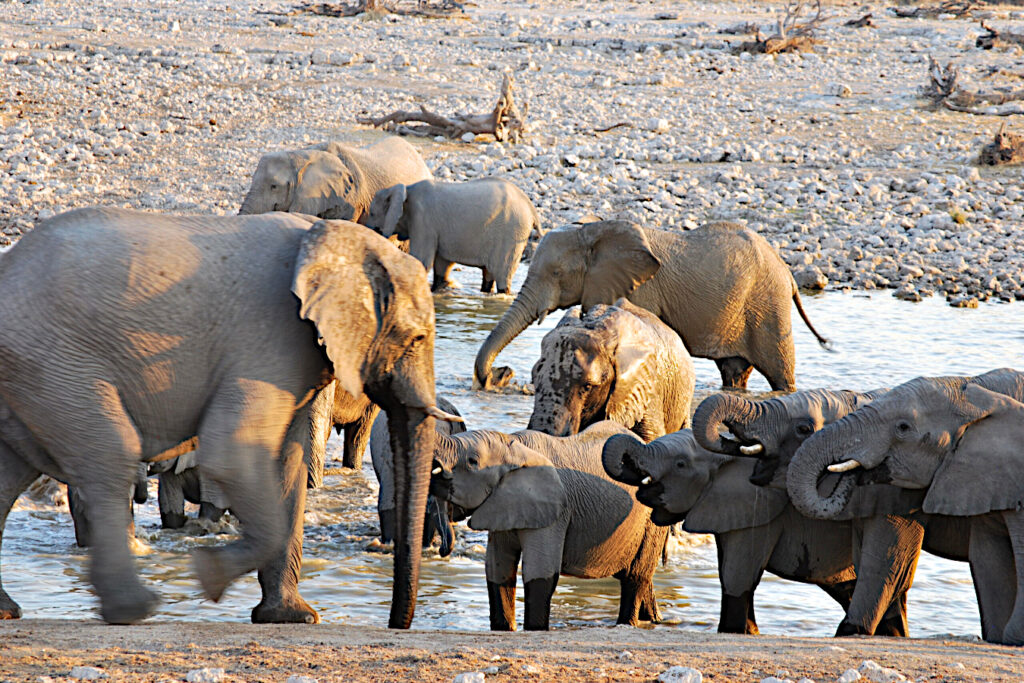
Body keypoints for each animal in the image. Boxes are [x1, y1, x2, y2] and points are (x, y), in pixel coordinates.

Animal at [365, 178, 542, 294]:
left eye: (372, 214)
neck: (405, 189)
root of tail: (531, 207)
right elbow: (442, 265)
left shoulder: (423, 220)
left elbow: (421, 260)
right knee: (489, 275)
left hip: (512, 233)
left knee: (501, 275)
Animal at [430, 421, 669, 631]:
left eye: (472, 461)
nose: (442, 549)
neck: (514, 447)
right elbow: (498, 570)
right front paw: (504, 629)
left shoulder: (556, 512)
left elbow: (539, 574)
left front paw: (534, 630)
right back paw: (653, 620)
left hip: (652, 519)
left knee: (635, 577)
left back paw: (627, 624)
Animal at [473, 219, 830, 392]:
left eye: (556, 274)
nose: (502, 375)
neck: (591, 232)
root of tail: (788, 273)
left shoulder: (638, 290)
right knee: (734, 371)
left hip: (769, 306)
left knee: (779, 372)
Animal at [602, 427, 919, 636]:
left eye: (680, 464)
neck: (731, 455)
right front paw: (751, 631)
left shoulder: (758, 516)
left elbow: (736, 577)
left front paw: (734, 632)